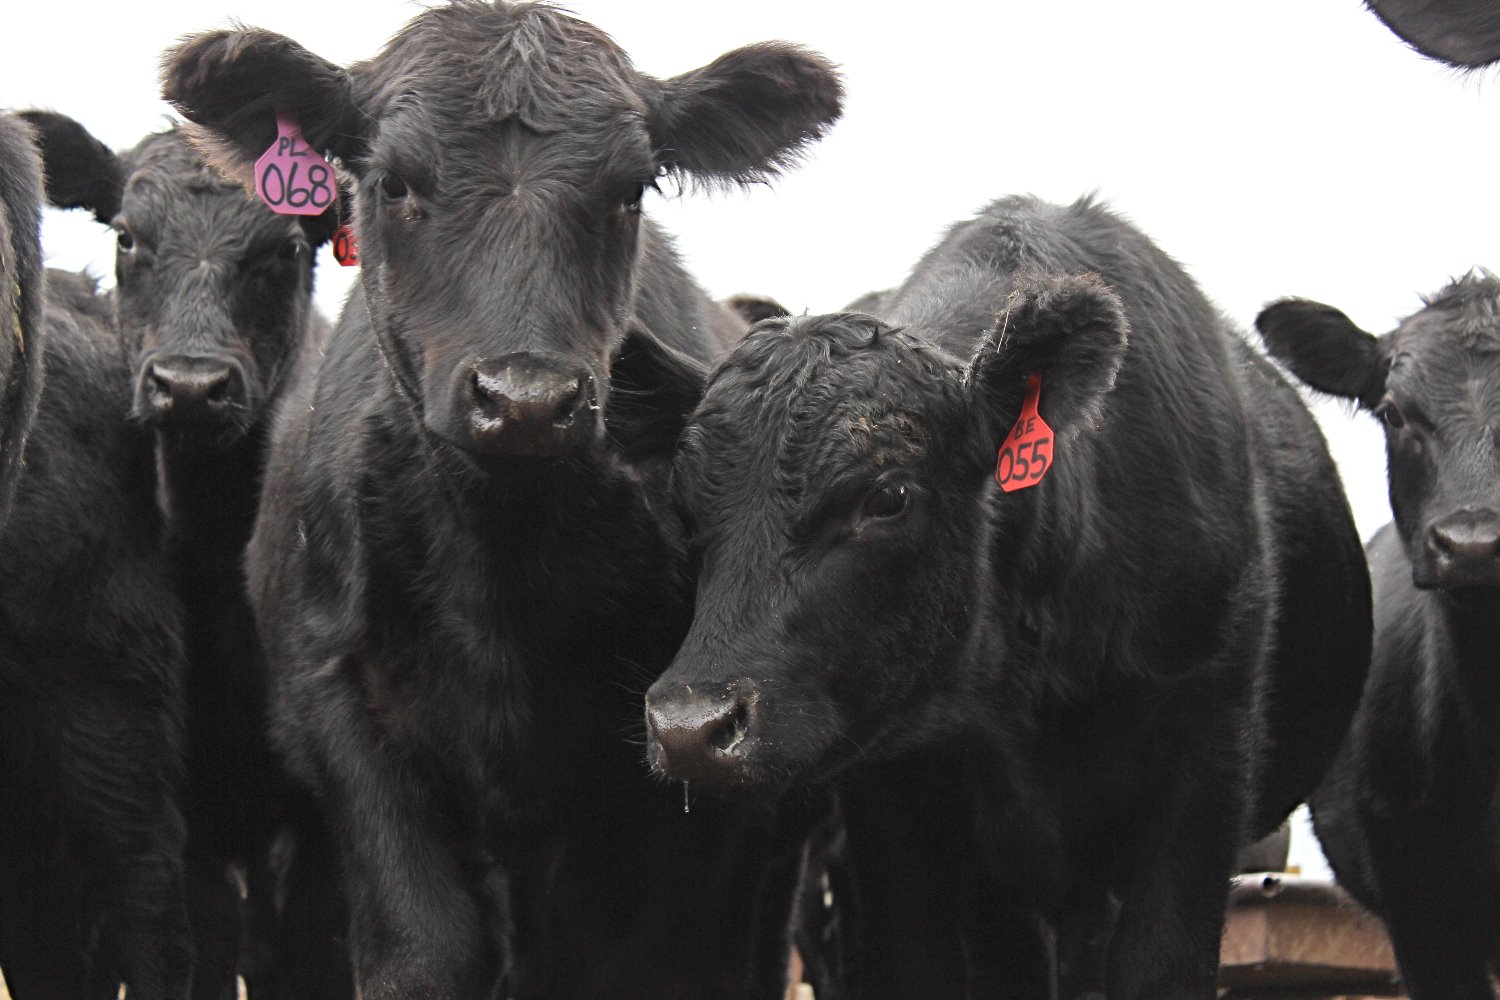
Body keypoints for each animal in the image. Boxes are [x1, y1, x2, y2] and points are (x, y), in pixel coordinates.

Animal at [20, 111, 351, 1000]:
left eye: (285, 248)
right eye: (128, 237)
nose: (192, 386)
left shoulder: (318, 814)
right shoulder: (190, 811)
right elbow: (203, 944)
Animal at [161, 2, 843, 996]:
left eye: (633, 190)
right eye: (394, 181)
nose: (526, 396)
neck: (500, 560)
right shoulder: (341, 711)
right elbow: (427, 945)